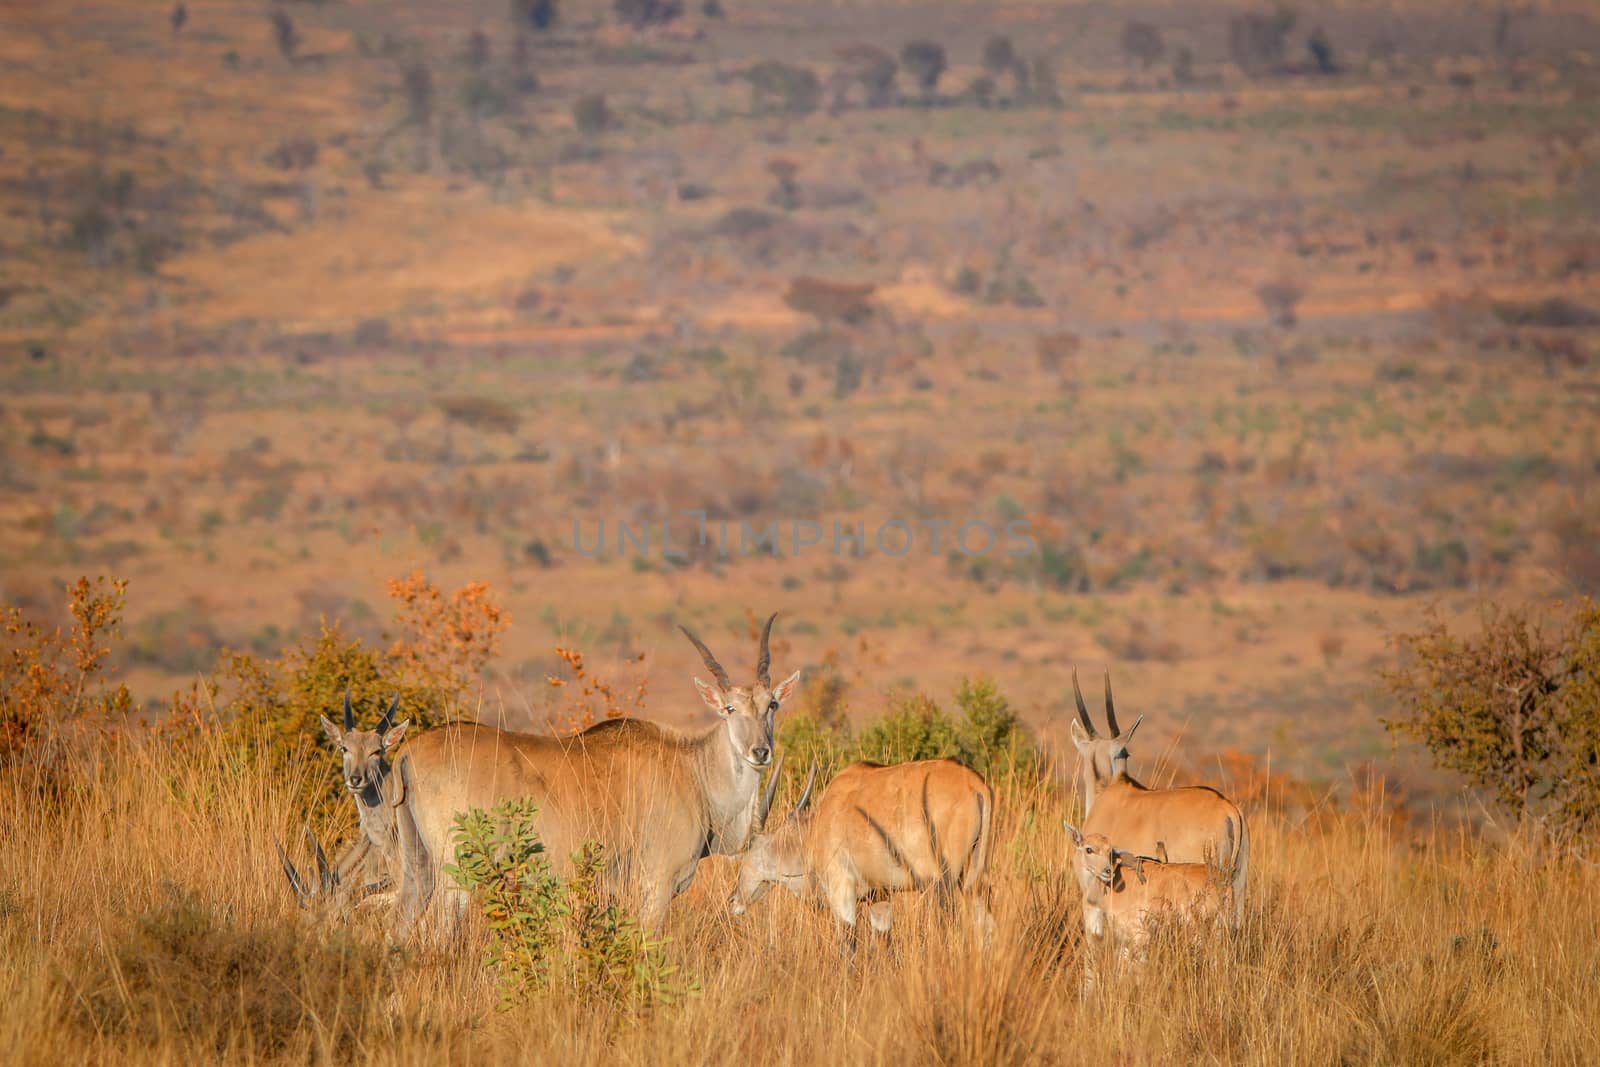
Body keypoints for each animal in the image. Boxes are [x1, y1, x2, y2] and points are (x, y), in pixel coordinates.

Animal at [392, 614, 800, 940]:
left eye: (772, 705)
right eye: (730, 708)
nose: (760, 752)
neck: (692, 767)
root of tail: (408, 750)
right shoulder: (657, 884)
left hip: (418, 870)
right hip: (456, 875)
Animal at [729, 758, 998, 953]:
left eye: (745, 859)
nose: (733, 901)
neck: (816, 829)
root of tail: (976, 786)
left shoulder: (842, 891)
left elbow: (848, 946)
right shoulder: (879, 897)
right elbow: (884, 941)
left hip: (942, 884)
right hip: (974, 883)